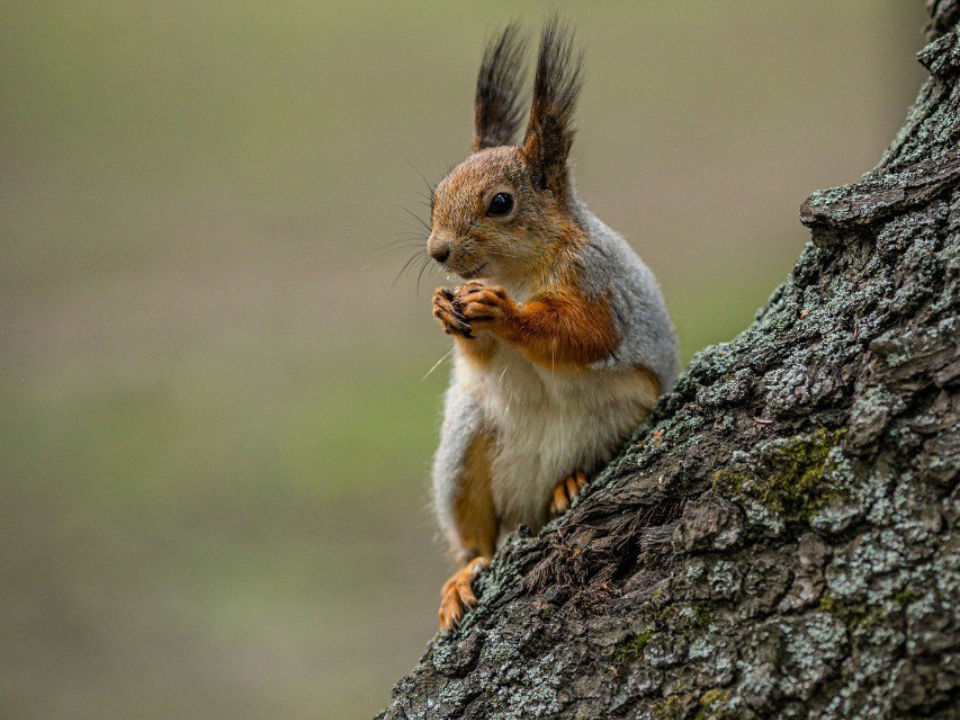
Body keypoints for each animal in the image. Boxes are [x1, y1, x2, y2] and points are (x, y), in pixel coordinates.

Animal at [424, 18, 680, 632]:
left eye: (500, 203)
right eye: (435, 196)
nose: (437, 250)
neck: (513, 273)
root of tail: (530, 500)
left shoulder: (601, 289)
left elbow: (581, 334)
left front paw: (507, 315)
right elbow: (479, 356)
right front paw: (446, 311)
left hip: (620, 413)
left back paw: (569, 482)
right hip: (464, 450)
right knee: (477, 542)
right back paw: (465, 576)